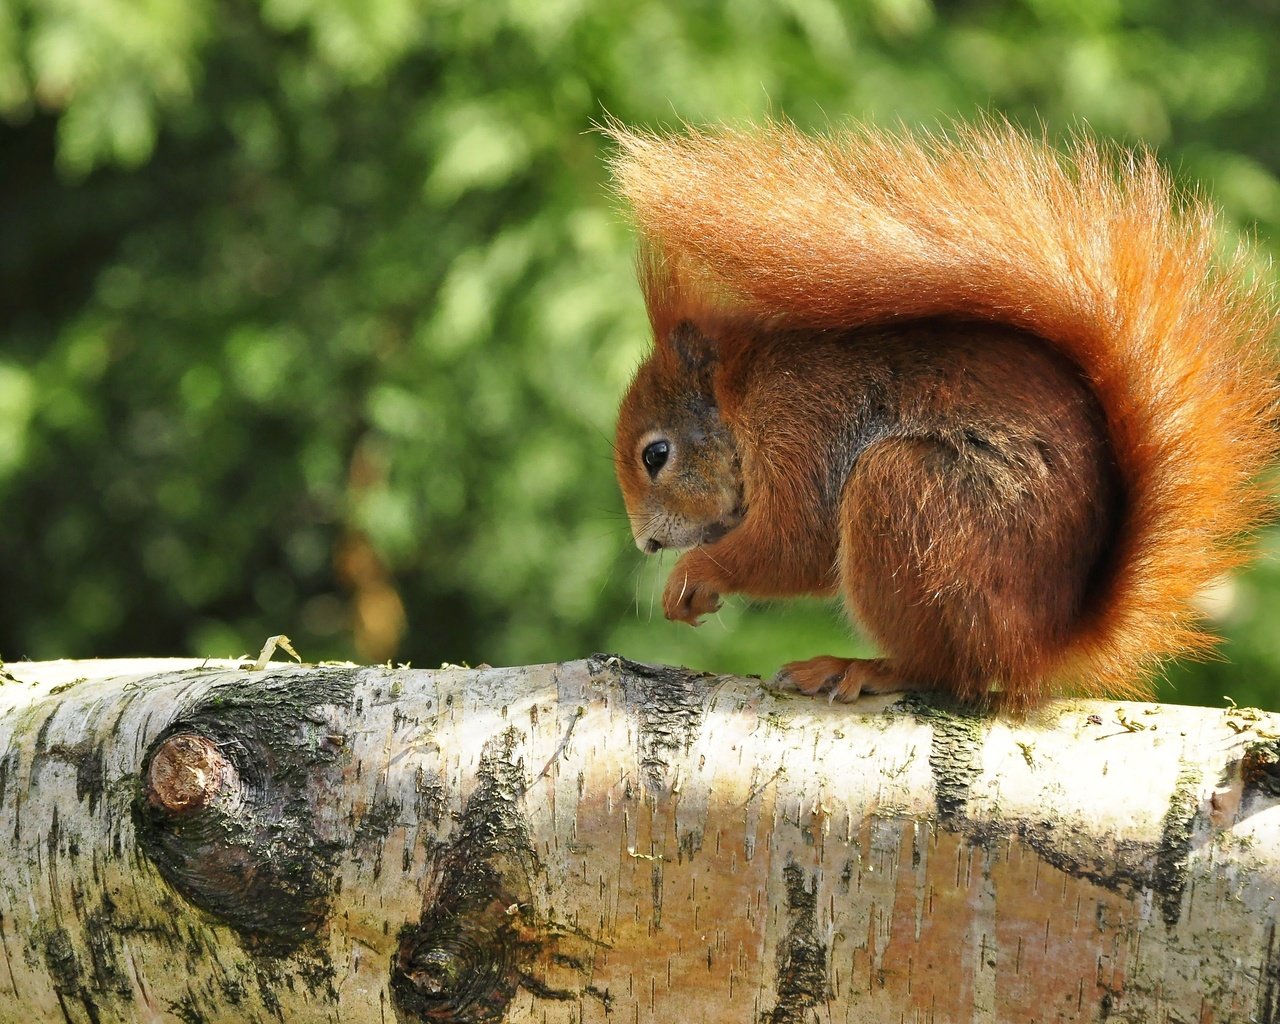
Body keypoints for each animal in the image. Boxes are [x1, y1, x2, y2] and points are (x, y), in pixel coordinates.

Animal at [606, 120, 1280, 711]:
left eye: (656, 454)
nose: (648, 543)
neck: (739, 393)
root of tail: (1042, 644)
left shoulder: (802, 423)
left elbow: (795, 544)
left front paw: (693, 574)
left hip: (907, 496)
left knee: (946, 671)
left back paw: (861, 667)